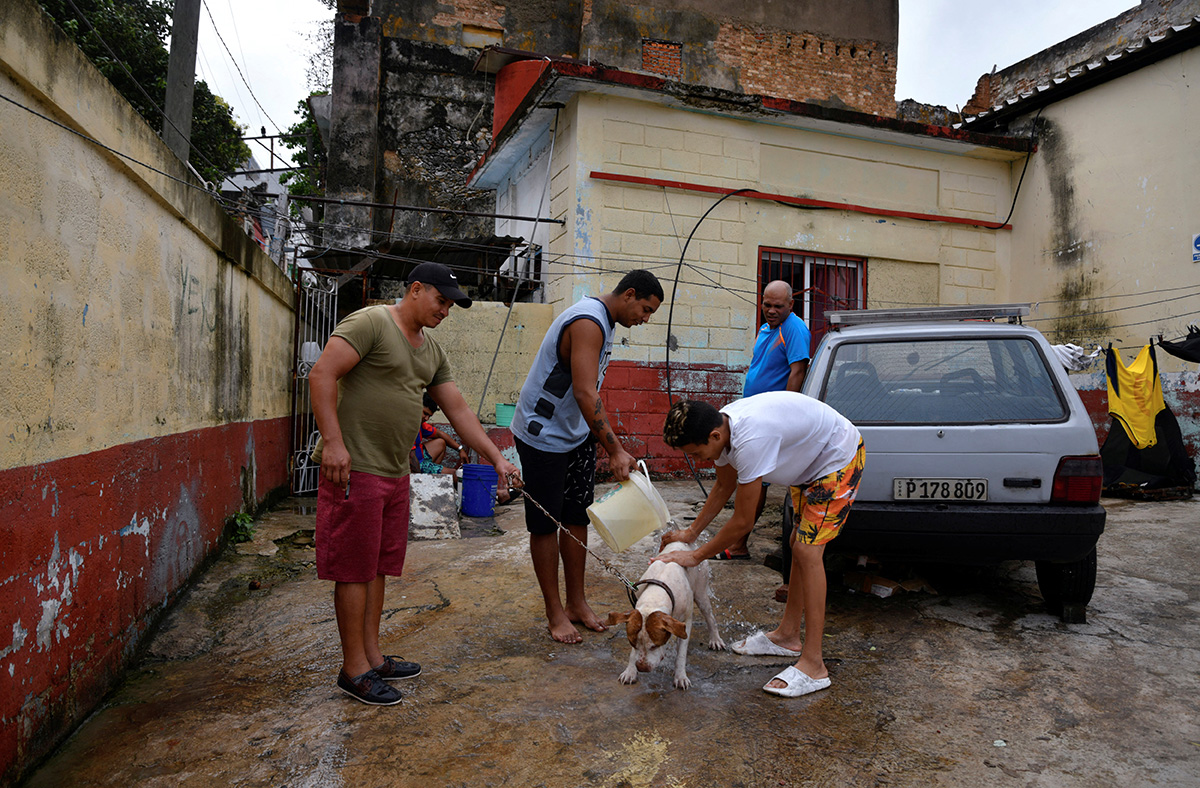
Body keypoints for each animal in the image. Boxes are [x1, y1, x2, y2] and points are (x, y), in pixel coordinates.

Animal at [604, 542, 724, 690]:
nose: (642, 668)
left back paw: (715, 639)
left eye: (654, 646)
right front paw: (630, 671)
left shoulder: (686, 622)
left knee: (710, 617)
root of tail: (685, 543)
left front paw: (680, 676)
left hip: (701, 592)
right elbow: (633, 653)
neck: (657, 593)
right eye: (632, 643)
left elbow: (681, 654)